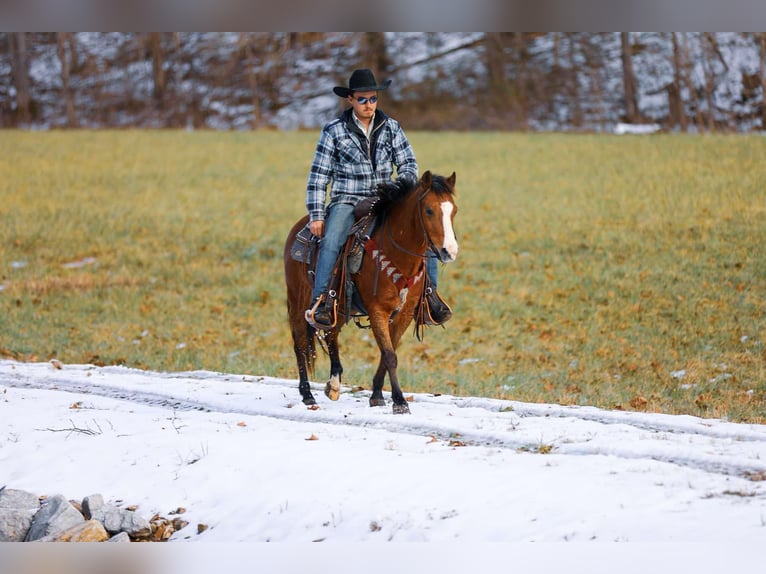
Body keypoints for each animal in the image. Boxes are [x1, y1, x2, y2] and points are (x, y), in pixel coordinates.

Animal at [283, 171, 459, 414]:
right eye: (429, 210)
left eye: (454, 210)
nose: (449, 251)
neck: (397, 255)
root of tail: (299, 227)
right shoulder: (377, 310)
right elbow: (390, 355)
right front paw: (400, 402)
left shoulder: (404, 313)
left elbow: (388, 351)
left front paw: (376, 394)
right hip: (298, 300)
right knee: (300, 343)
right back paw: (308, 395)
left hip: (337, 306)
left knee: (331, 333)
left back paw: (333, 384)